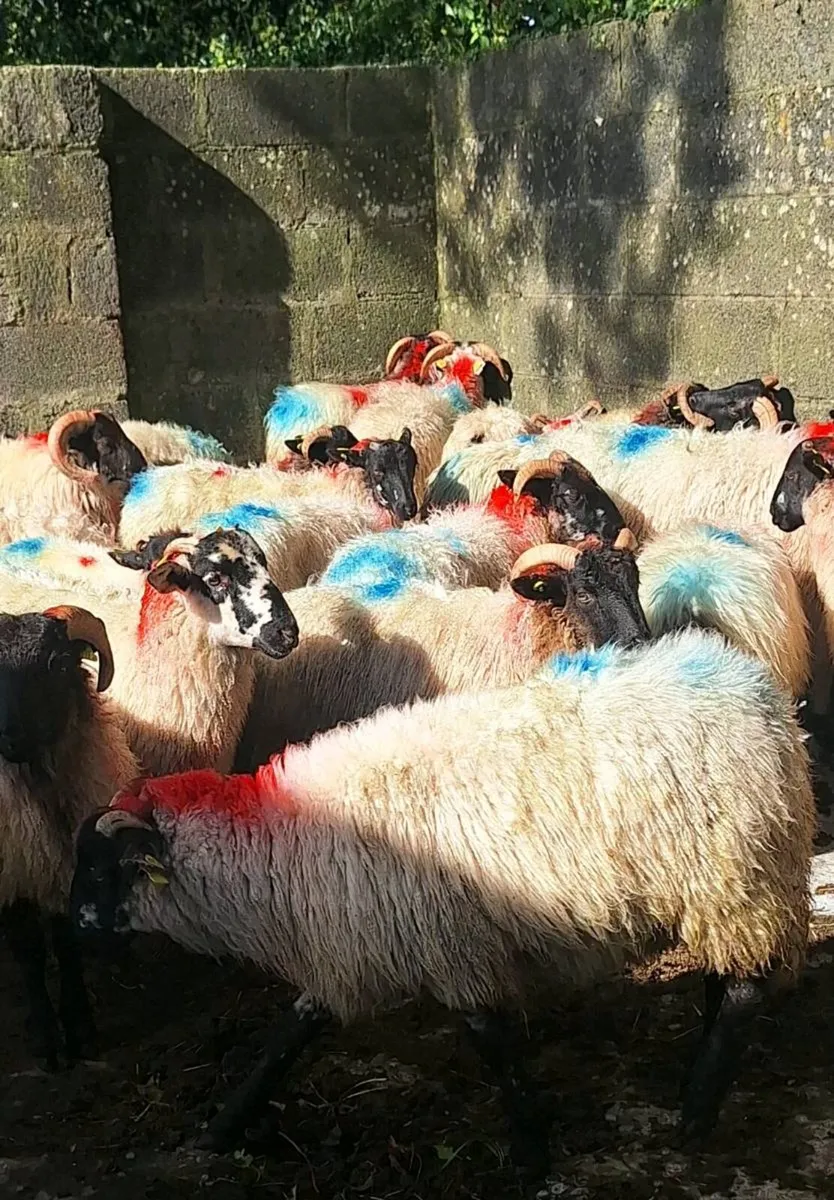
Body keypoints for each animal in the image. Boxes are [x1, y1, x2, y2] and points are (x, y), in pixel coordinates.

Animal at [0, 606, 138, 1067]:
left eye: (58, 664)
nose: (9, 737)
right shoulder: (13, 876)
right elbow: (28, 953)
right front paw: (47, 1042)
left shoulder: (65, 866)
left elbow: (65, 945)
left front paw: (80, 1030)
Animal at [72, 625, 815, 1165]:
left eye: (107, 871)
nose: (78, 927)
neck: (281, 842)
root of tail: (758, 692)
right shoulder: (350, 950)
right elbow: (291, 1032)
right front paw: (222, 1128)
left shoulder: (450, 945)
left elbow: (490, 1043)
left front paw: (531, 1148)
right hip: (729, 886)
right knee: (730, 978)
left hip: (739, 876)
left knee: (745, 989)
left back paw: (696, 1109)